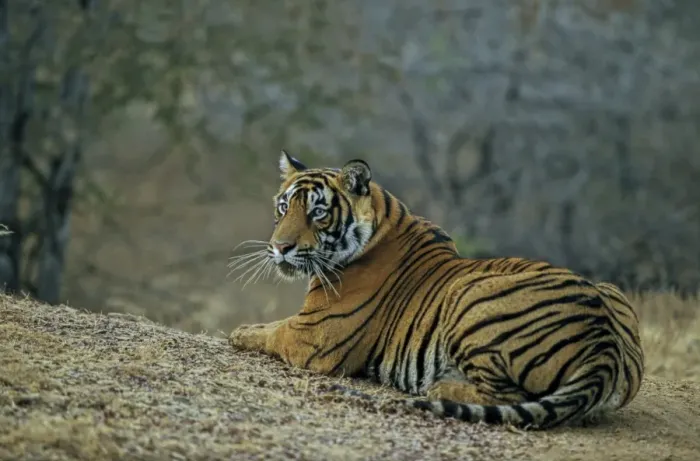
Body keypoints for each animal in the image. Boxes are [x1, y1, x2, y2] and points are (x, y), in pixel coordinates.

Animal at [228, 151, 645, 430]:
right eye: (284, 207)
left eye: (318, 212)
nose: (280, 247)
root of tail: (604, 346)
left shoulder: (313, 336)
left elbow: (268, 331)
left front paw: (239, 332)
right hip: (610, 291)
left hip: (470, 297)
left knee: (505, 396)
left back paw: (440, 387)